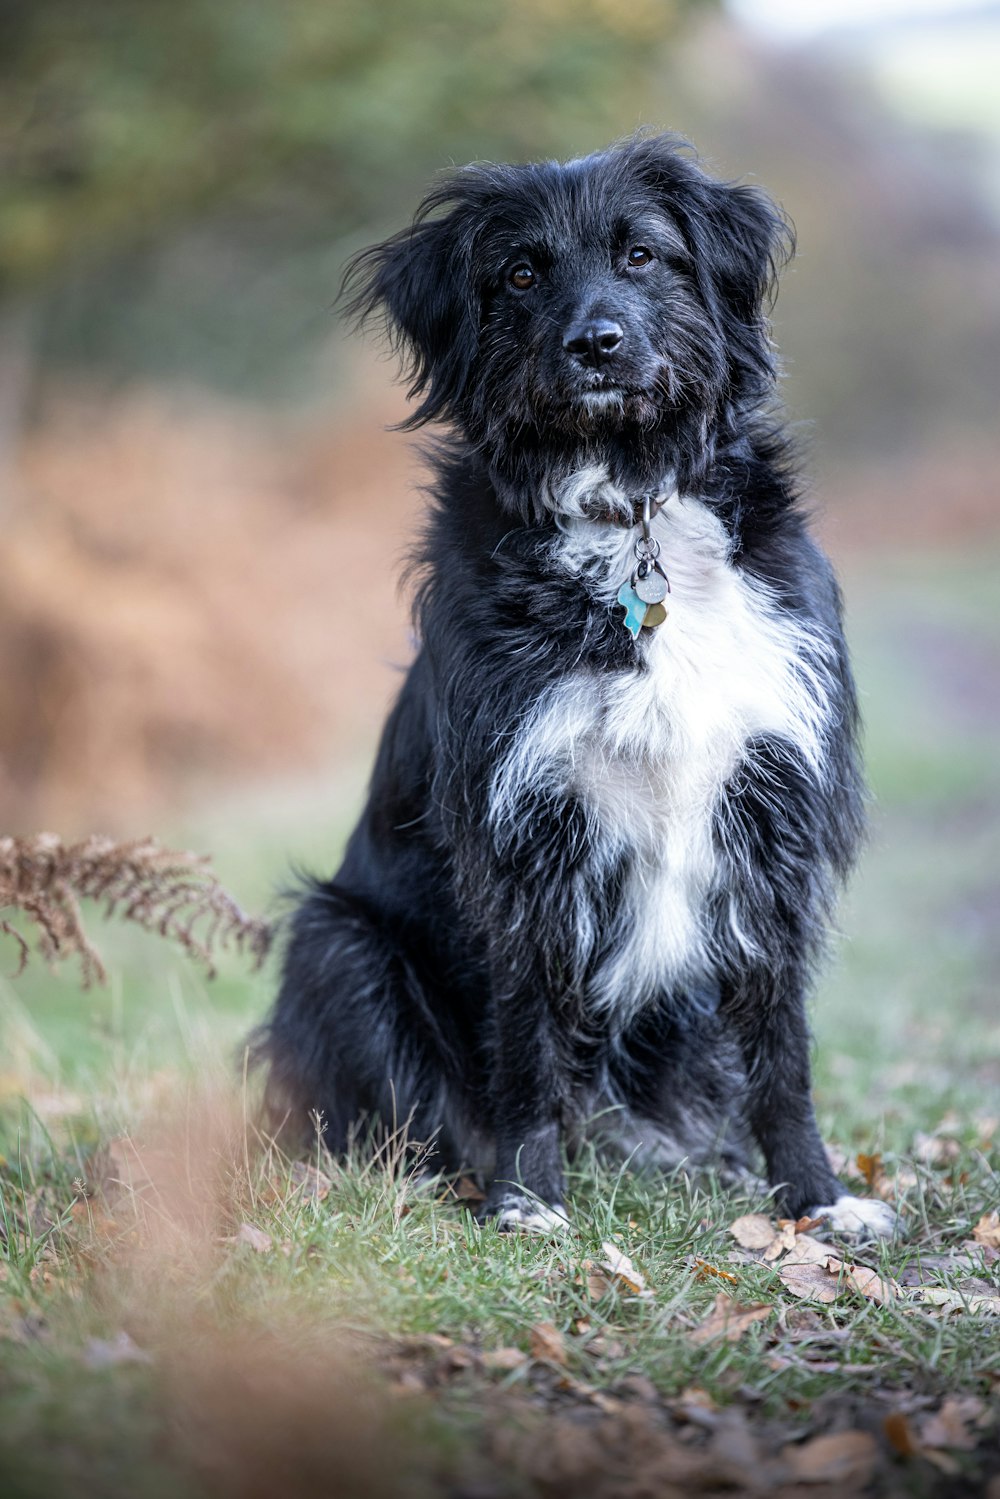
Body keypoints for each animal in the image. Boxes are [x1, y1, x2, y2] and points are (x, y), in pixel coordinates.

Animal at [254, 128, 893, 1235]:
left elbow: (783, 1051)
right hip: (338, 941)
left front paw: (813, 1198)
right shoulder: (522, 836)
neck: (631, 516)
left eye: (642, 254)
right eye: (518, 274)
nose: (594, 343)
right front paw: (526, 1198)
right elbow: (526, 1038)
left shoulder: (773, 813)